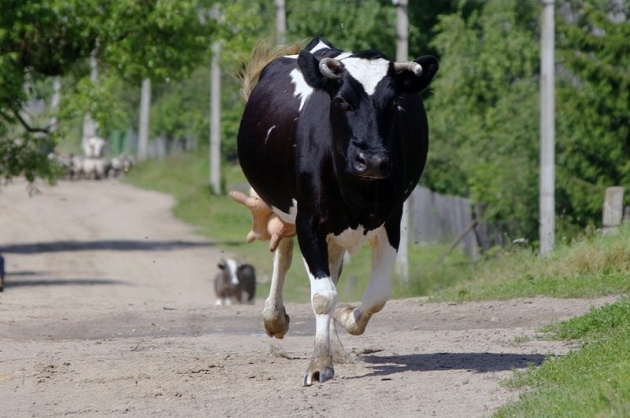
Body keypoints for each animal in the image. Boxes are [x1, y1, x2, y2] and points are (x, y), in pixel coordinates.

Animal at [235, 38, 436, 386]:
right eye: (342, 100)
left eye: (394, 101)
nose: (372, 161)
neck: (358, 191)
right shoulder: (309, 221)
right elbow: (322, 296)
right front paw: (318, 363)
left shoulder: (391, 220)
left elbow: (376, 294)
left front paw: (343, 320)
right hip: (290, 210)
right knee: (284, 253)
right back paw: (275, 318)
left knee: (332, 270)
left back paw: (335, 344)